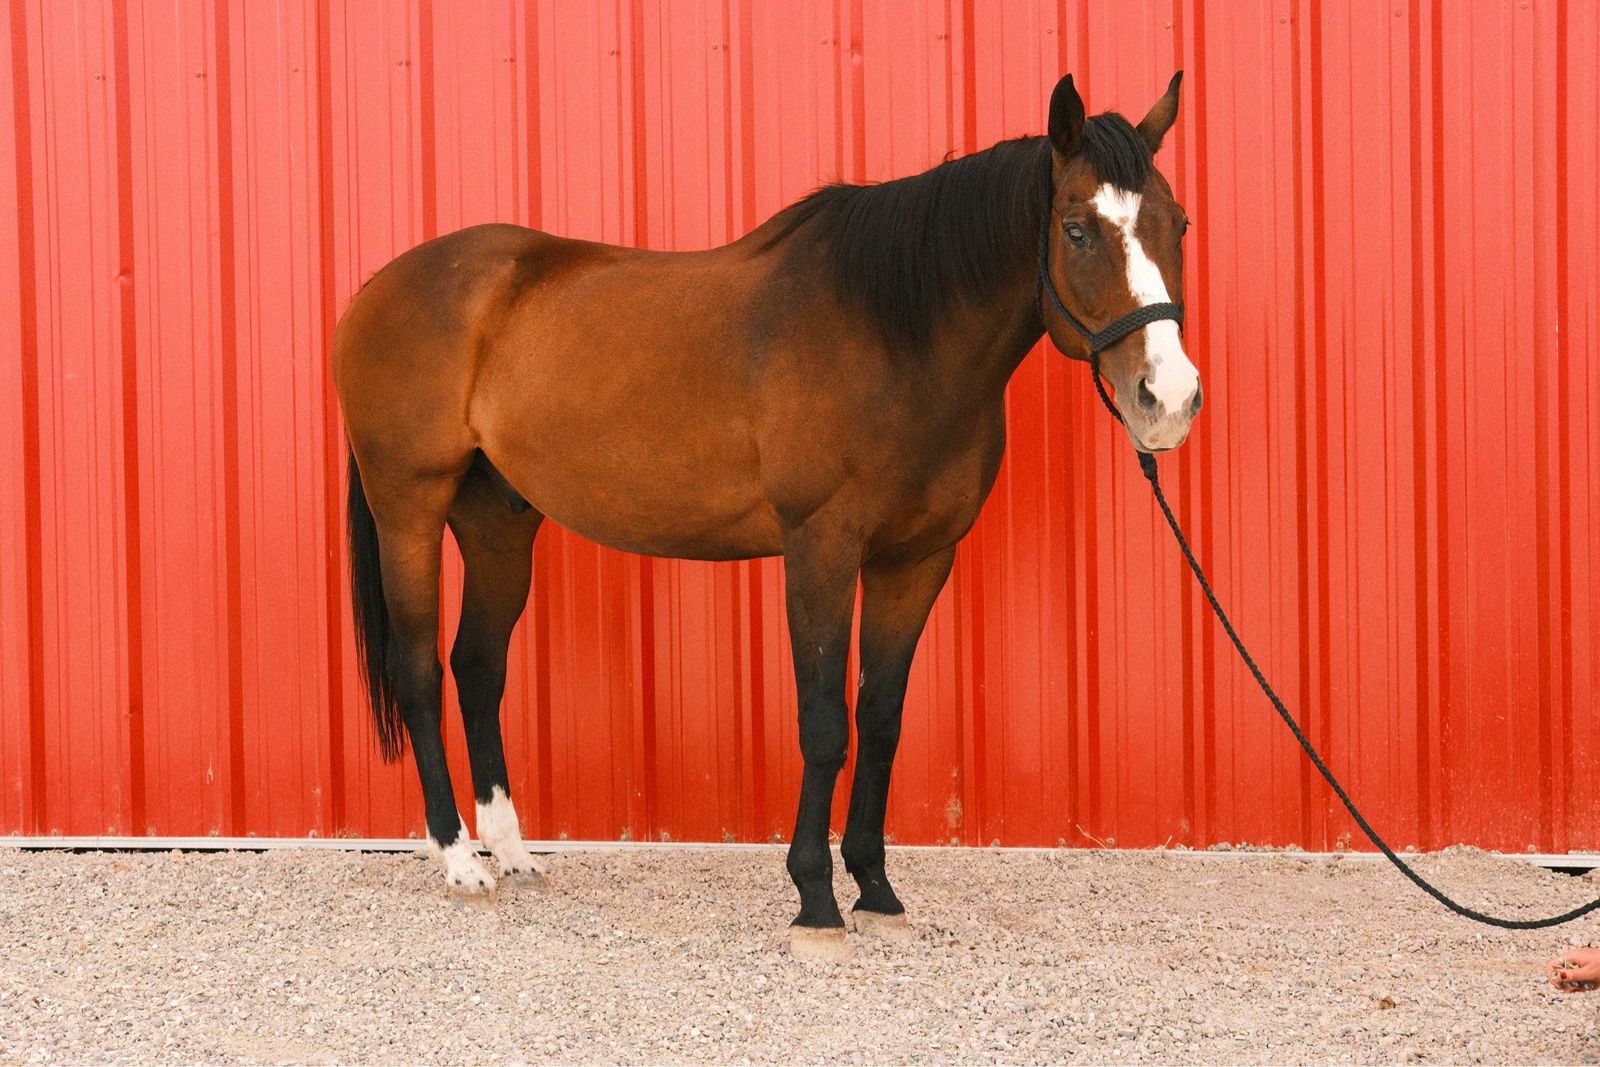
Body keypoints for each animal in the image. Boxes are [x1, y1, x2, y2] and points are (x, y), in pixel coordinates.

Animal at [333, 71, 1199, 960]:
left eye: (1179, 224)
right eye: (1077, 229)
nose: (1167, 400)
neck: (893, 333)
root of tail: (379, 288)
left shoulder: (916, 559)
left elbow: (880, 718)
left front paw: (876, 888)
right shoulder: (821, 547)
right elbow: (824, 722)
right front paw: (815, 899)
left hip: (500, 521)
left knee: (478, 667)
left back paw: (509, 852)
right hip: (409, 506)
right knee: (420, 670)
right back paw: (457, 859)